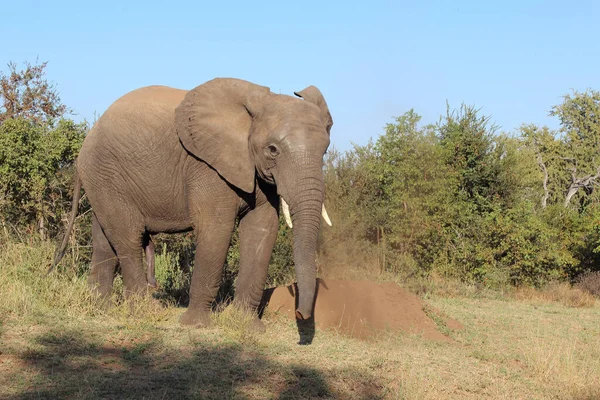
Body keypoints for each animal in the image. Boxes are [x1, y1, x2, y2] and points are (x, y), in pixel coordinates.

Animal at [54, 76, 332, 330]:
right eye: (272, 150)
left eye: (325, 150)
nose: (300, 315)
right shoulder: (206, 166)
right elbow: (216, 229)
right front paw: (196, 325)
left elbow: (262, 230)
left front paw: (247, 327)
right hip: (106, 172)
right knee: (128, 236)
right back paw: (145, 312)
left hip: (102, 179)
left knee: (104, 241)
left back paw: (101, 309)